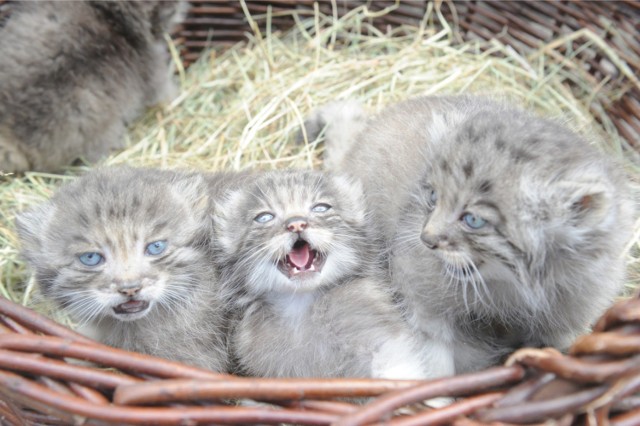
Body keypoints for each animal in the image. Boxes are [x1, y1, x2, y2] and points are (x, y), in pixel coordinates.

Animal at [312, 95, 636, 374]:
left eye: (473, 220)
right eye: (433, 196)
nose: (425, 239)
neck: (509, 289)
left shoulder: (565, 320)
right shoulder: (423, 297)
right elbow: (436, 359)